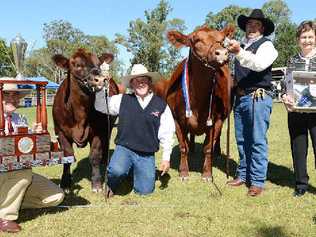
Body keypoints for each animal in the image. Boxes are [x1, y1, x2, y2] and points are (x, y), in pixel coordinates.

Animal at [52, 48, 118, 193]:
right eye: (77, 65)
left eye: (99, 64)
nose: (101, 79)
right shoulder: (60, 132)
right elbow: (68, 156)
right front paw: (65, 183)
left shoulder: (98, 132)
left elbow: (94, 156)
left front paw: (97, 184)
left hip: (109, 127)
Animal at [156, 25, 235, 181]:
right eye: (196, 39)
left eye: (222, 39)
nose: (222, 53)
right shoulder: (176, 119)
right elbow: (183, 146)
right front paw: (184, 172)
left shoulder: (217, 120)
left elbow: (208, 148)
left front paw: (207, 173)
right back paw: (192, 147)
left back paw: (217, 151)